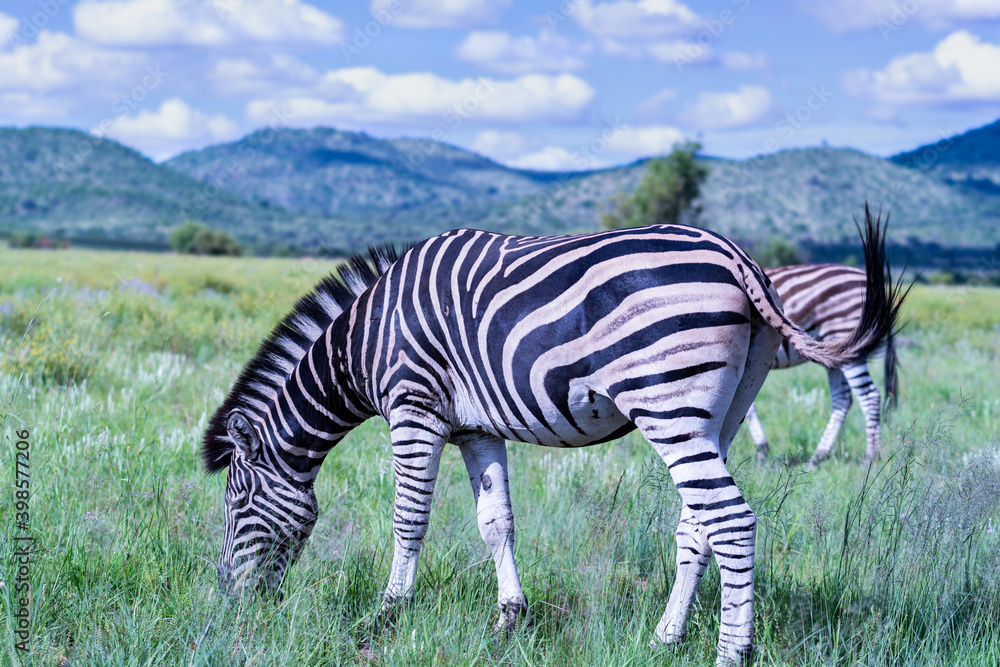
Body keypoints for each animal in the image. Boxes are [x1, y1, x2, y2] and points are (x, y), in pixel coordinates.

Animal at [746, 263, 900, 468]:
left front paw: (760, 450)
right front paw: (761, 450)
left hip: (845, 334)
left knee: (870, 397)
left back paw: (870, 458)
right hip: (839, 351)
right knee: (843, 399)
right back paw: (818, 457)